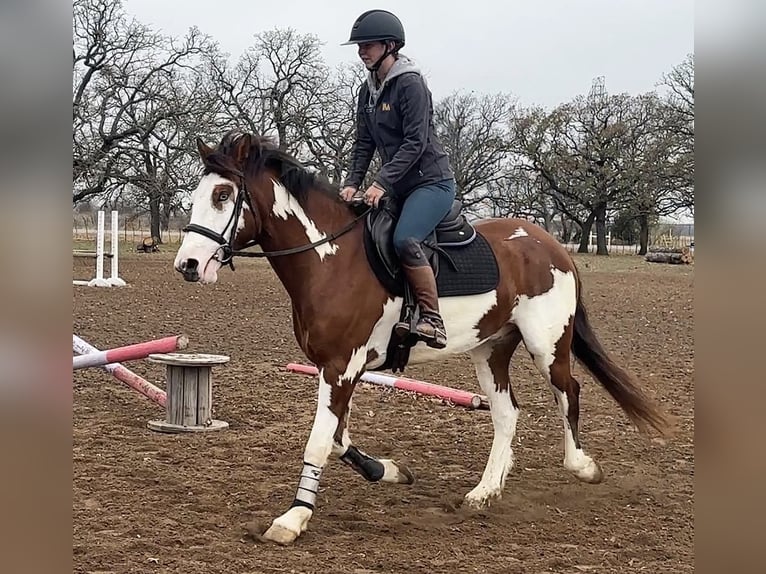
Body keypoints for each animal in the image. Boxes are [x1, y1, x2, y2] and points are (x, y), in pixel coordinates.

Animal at [174, 132, 672, 548]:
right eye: (198, 196)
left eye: (223, 195)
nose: (188, 265)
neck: (330, 259)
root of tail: (550, 244)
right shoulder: (335, 369)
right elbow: (337, 438)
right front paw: (390, 471)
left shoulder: (342, 367)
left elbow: (320, 441)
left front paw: (293, 518)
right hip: (490, 349)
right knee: (507, 413)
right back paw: (484, 492)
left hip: (548, 345)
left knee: (568, 391)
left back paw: (582, 467)